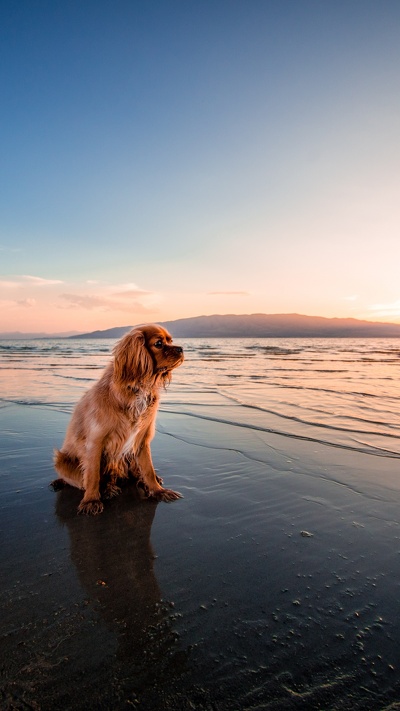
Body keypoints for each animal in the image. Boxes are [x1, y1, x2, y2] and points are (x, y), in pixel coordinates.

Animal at [50, 326, 185, 516]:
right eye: (159, 343)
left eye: (171, 341)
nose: (181, 349)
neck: (137, 389)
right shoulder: (95, 442)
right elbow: (93, 475)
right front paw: (91, 500)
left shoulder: (142, 440)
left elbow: (148, 470)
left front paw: (157, 490)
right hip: (62, 460)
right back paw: (106, 489)